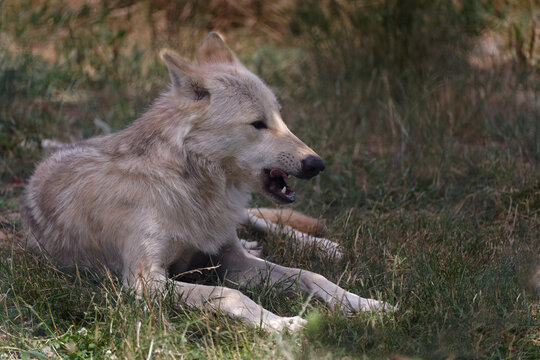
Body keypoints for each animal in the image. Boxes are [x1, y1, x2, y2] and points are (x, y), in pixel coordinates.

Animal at [22, 32, 392, 330]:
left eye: (280, 118)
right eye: (258, 124)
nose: (317, 163)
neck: (186, 187)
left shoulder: (234, 261)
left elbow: (312, 276)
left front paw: (365, 304)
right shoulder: (145, 282)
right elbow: (231, 295)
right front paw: (282, 324)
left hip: (240, 222)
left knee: (260, 221)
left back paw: (323, 247)